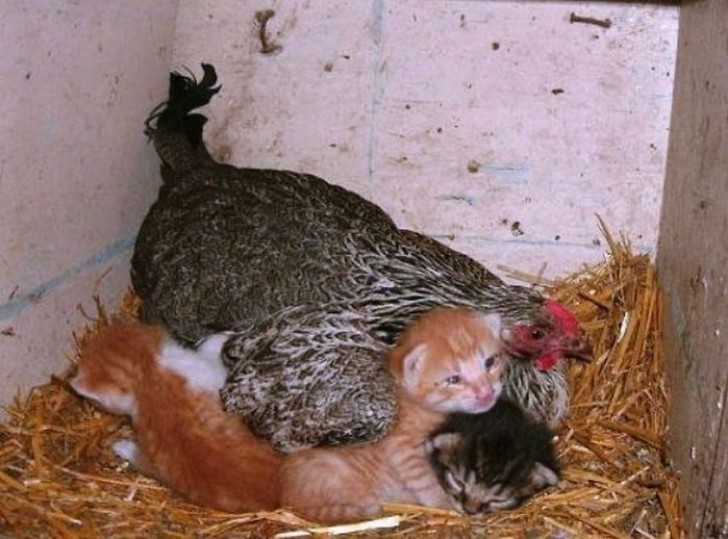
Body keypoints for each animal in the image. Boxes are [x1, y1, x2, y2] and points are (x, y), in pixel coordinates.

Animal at [280, 308, 506, 524]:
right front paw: (444, 504)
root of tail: (287, 498)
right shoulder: (402, 448)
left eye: (490, 362)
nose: (486, 393)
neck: (414, 403)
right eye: (453, 379)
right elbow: (425, 479)